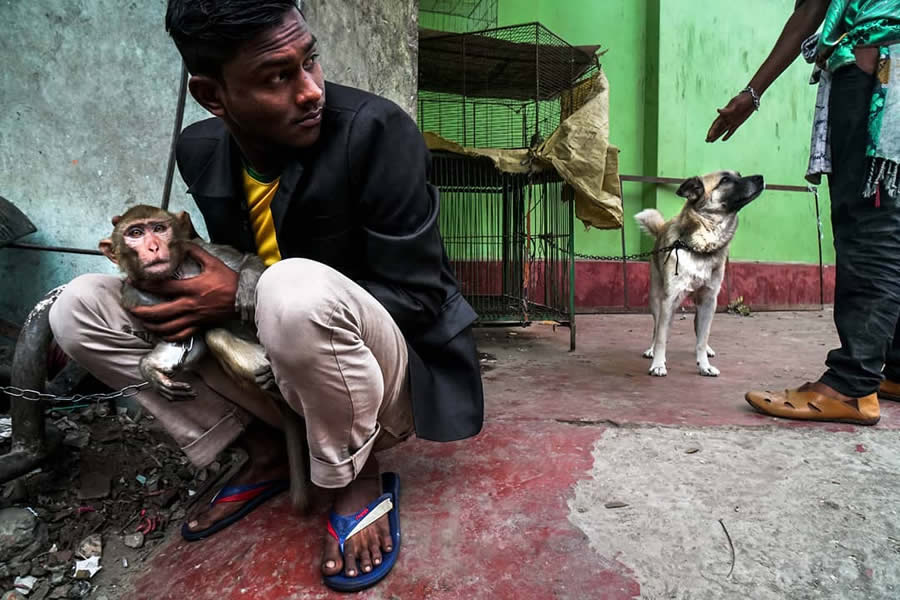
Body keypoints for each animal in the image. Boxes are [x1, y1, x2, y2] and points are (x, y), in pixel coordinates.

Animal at [99, 206, 312, 510]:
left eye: (159, 228)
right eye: (135, 233)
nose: (153, 247)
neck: (176, 274)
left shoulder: (208, 253)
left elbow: (248, 261)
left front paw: (247, 283)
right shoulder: (140, 297)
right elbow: (190, 340)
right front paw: (151, 369)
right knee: (215, 335)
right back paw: (269, 379)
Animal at [632, 170, 768, 376]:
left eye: (739, 174)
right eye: (725, 180)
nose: (761, 177)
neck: (703, 244)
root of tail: (662, 228)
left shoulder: (709, 300)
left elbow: (702, 339)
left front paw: (704, 365)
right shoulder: (669, 299)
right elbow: (662, 337)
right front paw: (658, 364)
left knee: (698, 327)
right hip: (656, 298)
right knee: (657, 328)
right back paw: (652, 349)